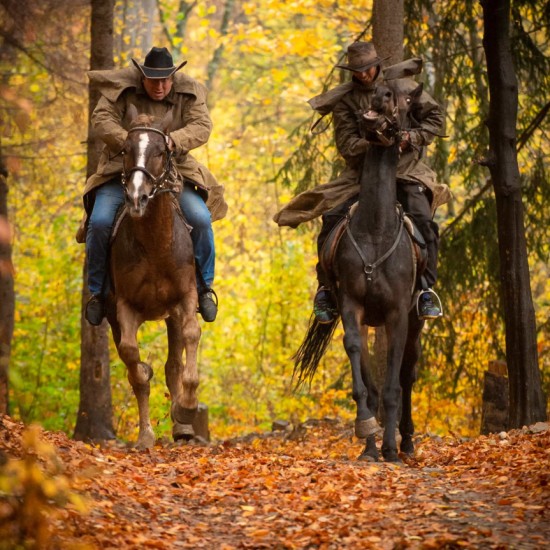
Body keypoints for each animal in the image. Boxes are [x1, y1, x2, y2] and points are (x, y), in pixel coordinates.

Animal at [106, 105, 202, 450]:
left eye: (161, 151)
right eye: (125, 150)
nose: (137, 198)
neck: (156, 244)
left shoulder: (185, 298)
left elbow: (191, 338)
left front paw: (186, 409)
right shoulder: (124, 306)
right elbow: (134, 364)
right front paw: (145, 435)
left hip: (171, 315)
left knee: (173, 365)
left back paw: (182, 425)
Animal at [298, 80, 426, 464]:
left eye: (404, 101)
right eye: (383, 92)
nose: (380, 96)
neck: (375, 230)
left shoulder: (398, 313)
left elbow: (394, 383)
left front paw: (391, 449)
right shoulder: (352, 306)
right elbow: (363, 375)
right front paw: (369, 438)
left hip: (416, 319)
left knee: (408, 373)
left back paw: (407, 441)